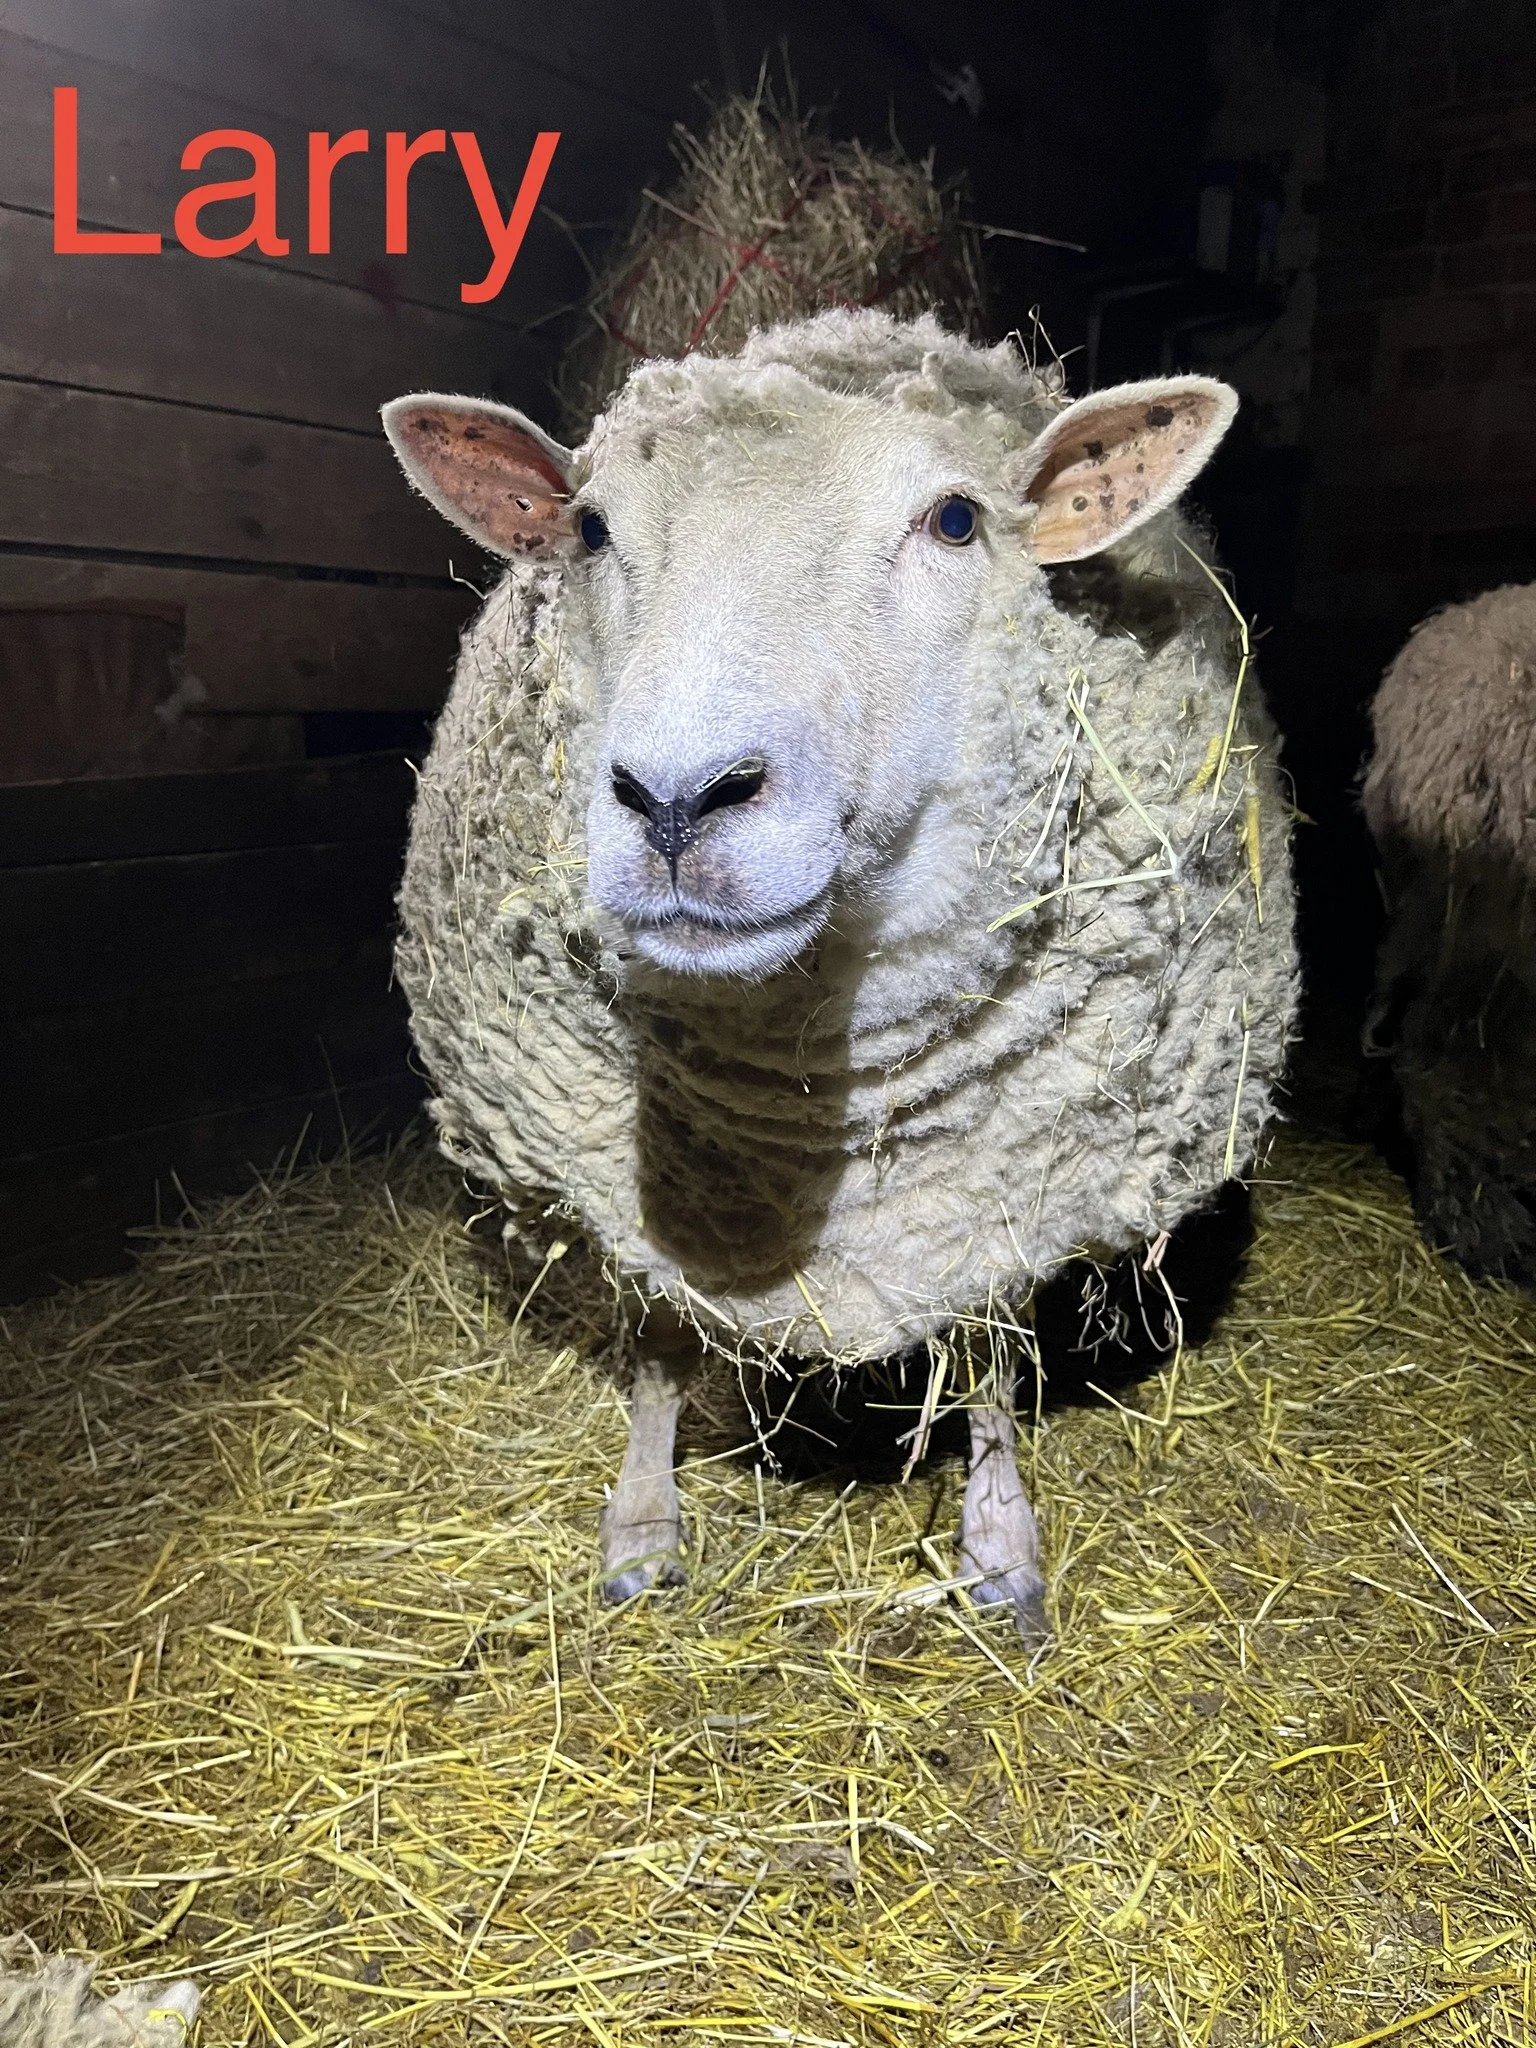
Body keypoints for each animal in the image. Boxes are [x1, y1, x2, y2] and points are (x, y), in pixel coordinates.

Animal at [381, 309, 1298, 1637]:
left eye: (957, 518)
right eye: (591, 528)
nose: (677, 800)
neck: (806, 1104)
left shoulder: (1010, 1174)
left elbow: (989, 1350)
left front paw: (1000, 1546)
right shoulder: (625, 1171)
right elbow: (658, 1331)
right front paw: (642, 1526)